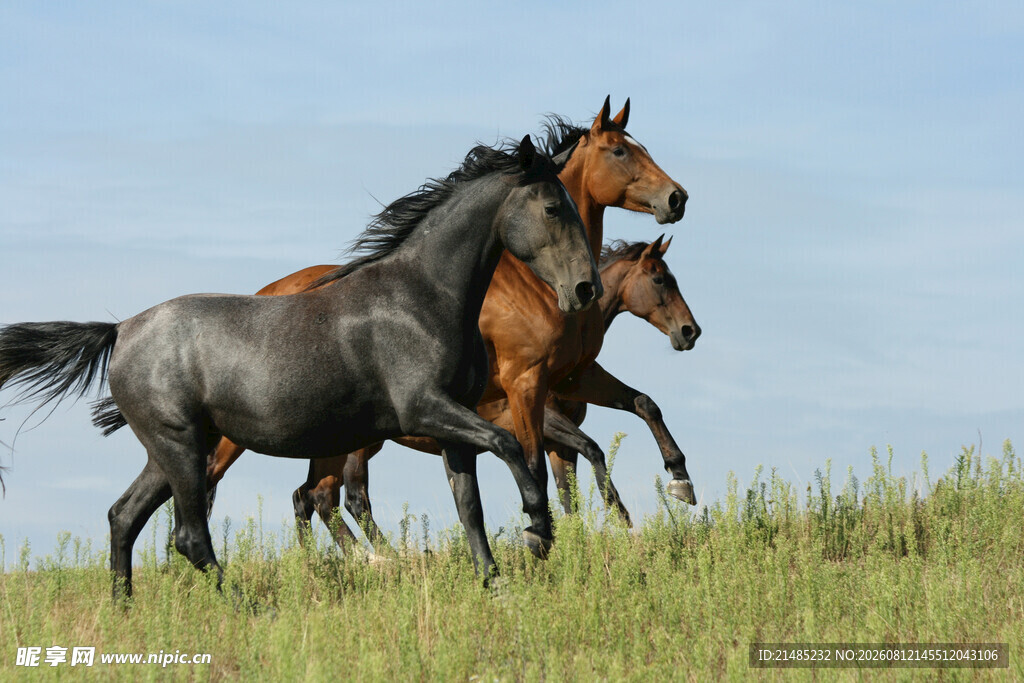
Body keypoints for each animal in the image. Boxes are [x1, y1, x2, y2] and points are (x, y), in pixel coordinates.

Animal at [0, 135, 601, 599]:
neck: (422, 297)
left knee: (124, 517)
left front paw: (496, 583)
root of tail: (121, 329)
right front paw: (538, 531)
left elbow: (469, 505)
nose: (584, 289)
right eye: (552, 207)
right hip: (181, 446)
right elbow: (511, 447)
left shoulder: (452, 425)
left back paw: (124, 609)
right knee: (188, 535)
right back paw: (239, 605)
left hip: (171, 449)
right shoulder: (427, 409)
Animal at [287, 235, 699, 549]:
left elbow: (576, 481)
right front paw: (623, 520)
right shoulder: (538, 417)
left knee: (308, 497)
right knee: (343, 498)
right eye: (660, 280)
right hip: (357, 448)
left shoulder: (556, 437)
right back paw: (383, 558)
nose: (689, 331)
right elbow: (593, 451)